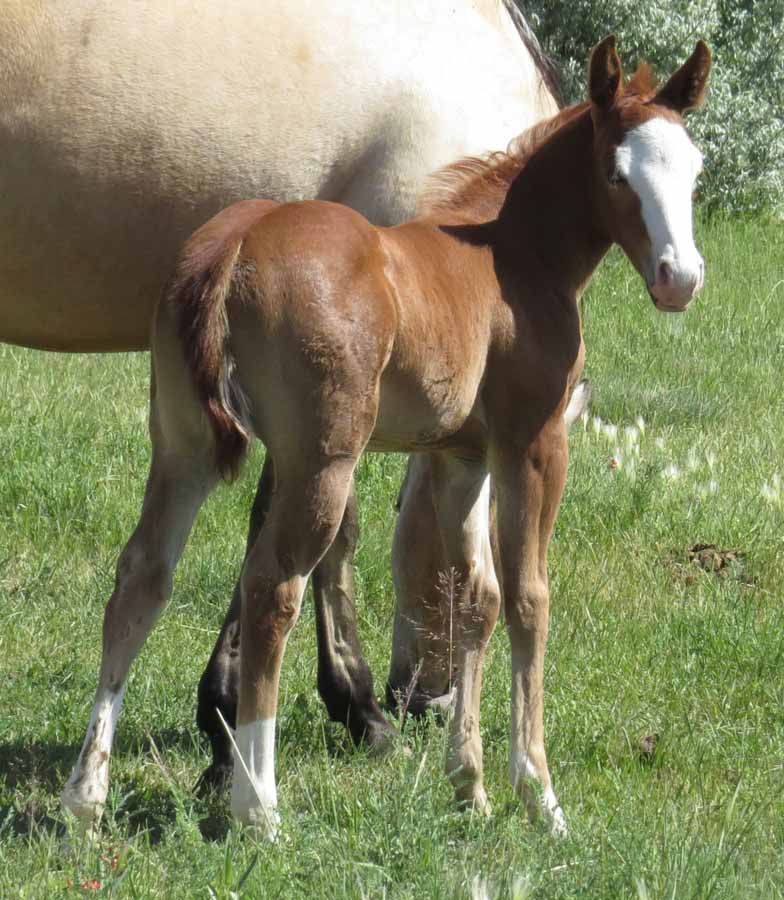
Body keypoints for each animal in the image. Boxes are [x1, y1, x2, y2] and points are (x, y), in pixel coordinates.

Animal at [60, 35, 711, 836]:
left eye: (693, 171)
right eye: (619, 174)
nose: (680, 278)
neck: (512, 255)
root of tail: (235, 243)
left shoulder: (461, 457)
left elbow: (476, 597)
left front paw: (470, 786)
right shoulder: (532, 444)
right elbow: (528, 598)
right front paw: (540, 795)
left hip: (182, 446)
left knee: (142, 579)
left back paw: (84, 797)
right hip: (322, 460)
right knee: (273, 588)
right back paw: (260, 807)